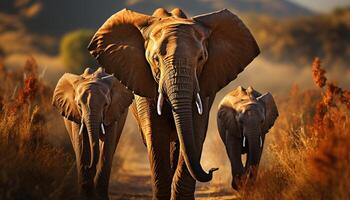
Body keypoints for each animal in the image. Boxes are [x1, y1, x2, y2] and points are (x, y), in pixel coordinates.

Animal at [52, 67, 133, 198]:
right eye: (79, 105)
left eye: (106, 104)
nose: (88, 166)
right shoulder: (76, 114)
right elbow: (81, 143)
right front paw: (86, 195)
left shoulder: (111, 112)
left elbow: (107, 144)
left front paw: (100, 196)